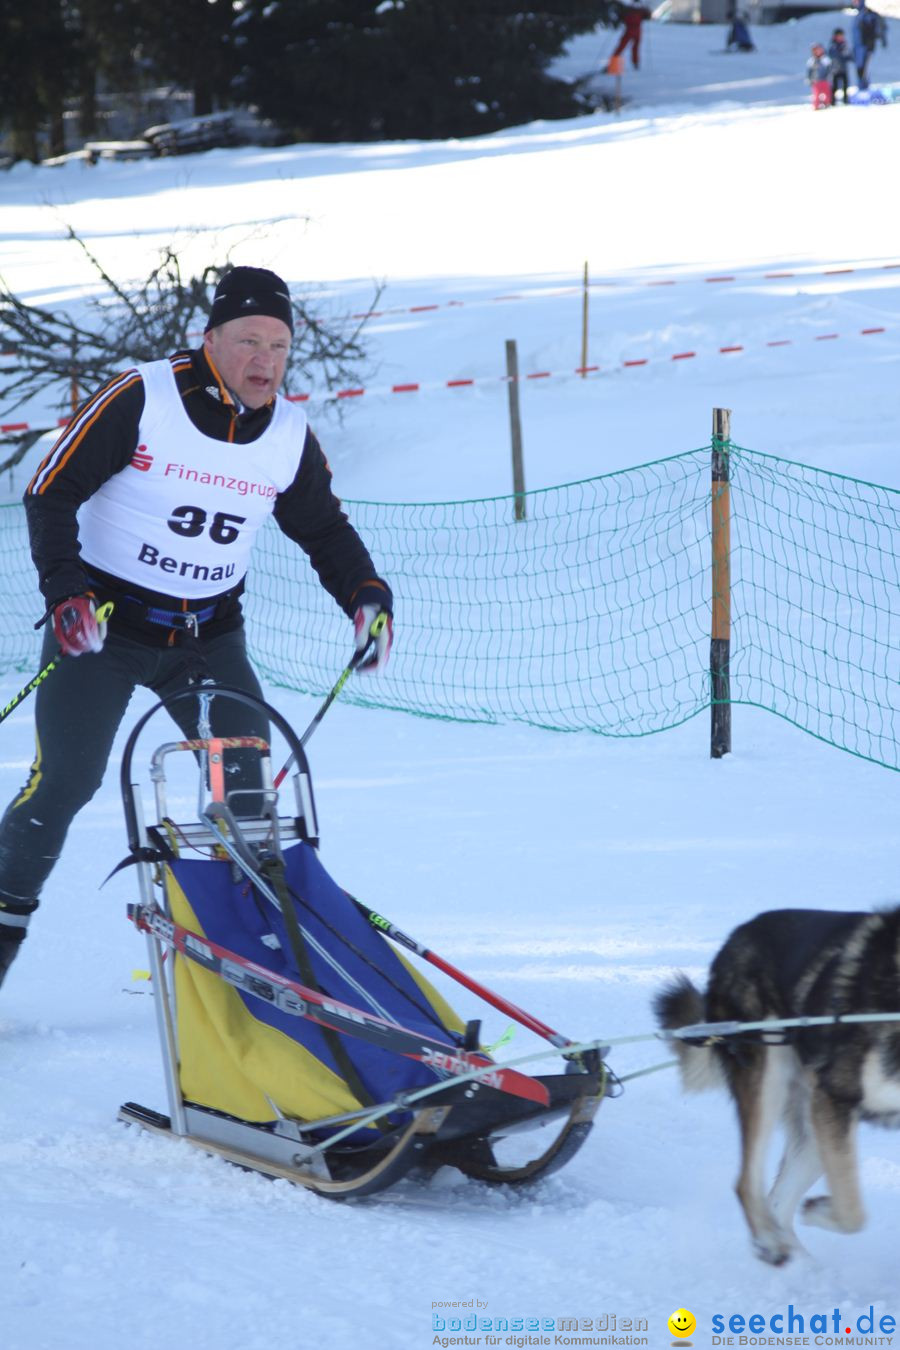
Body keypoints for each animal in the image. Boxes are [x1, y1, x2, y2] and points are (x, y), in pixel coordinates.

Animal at [655, 907, 900, 1263]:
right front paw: (818, 1210)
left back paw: (804, 1267)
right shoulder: (834, 1095)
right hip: (773, 1079)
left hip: (814, 1127)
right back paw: (775, 1247)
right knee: (747, 1184)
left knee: (777, 1202)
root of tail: (737, 935)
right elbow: (853, 1213)